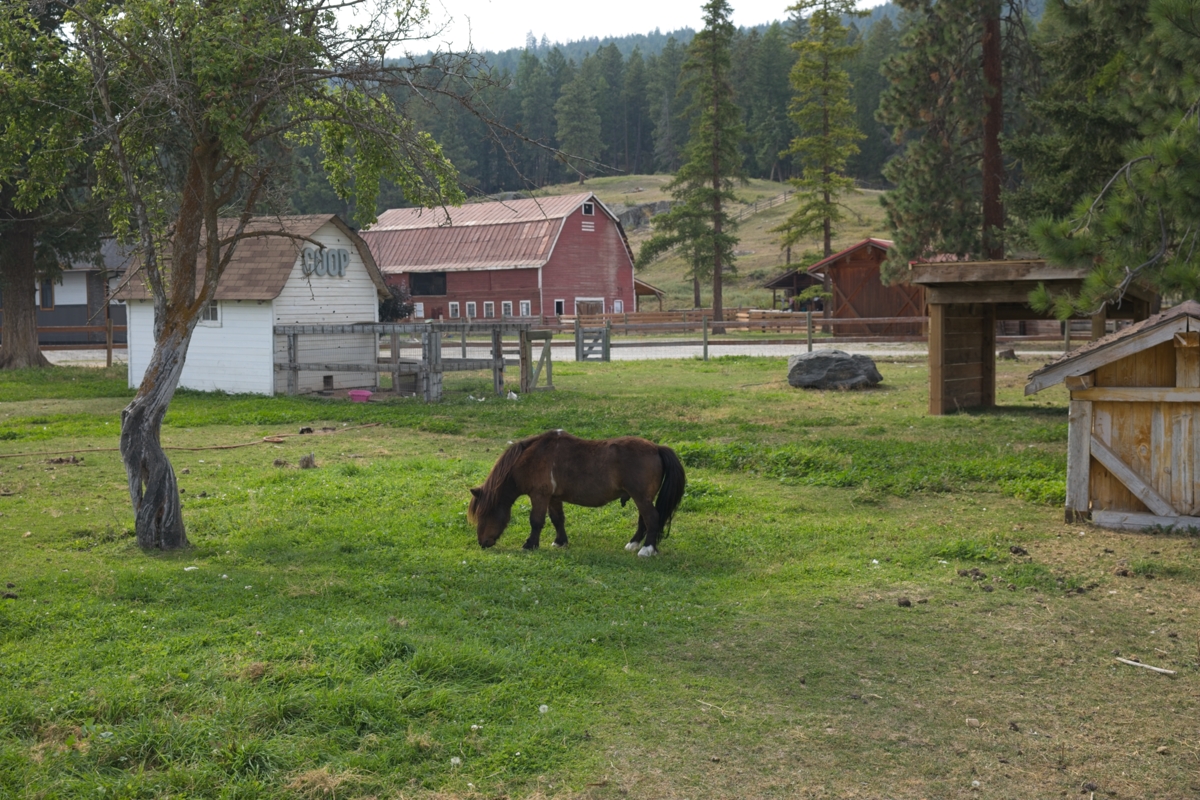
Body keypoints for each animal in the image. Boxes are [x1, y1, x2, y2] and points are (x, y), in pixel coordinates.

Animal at [468, 430, 686, 556]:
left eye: (484, 514)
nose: (482, 543)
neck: (531, 457)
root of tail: (656, 447)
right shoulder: (553, 498)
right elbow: (557, 519)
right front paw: (560, 542)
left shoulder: (539, 496)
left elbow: (536, 521)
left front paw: (530, 544)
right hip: (641, 498)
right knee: (644, 520)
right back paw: (633, 544)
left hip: (641, 498)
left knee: (651, 518)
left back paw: (647, 549)